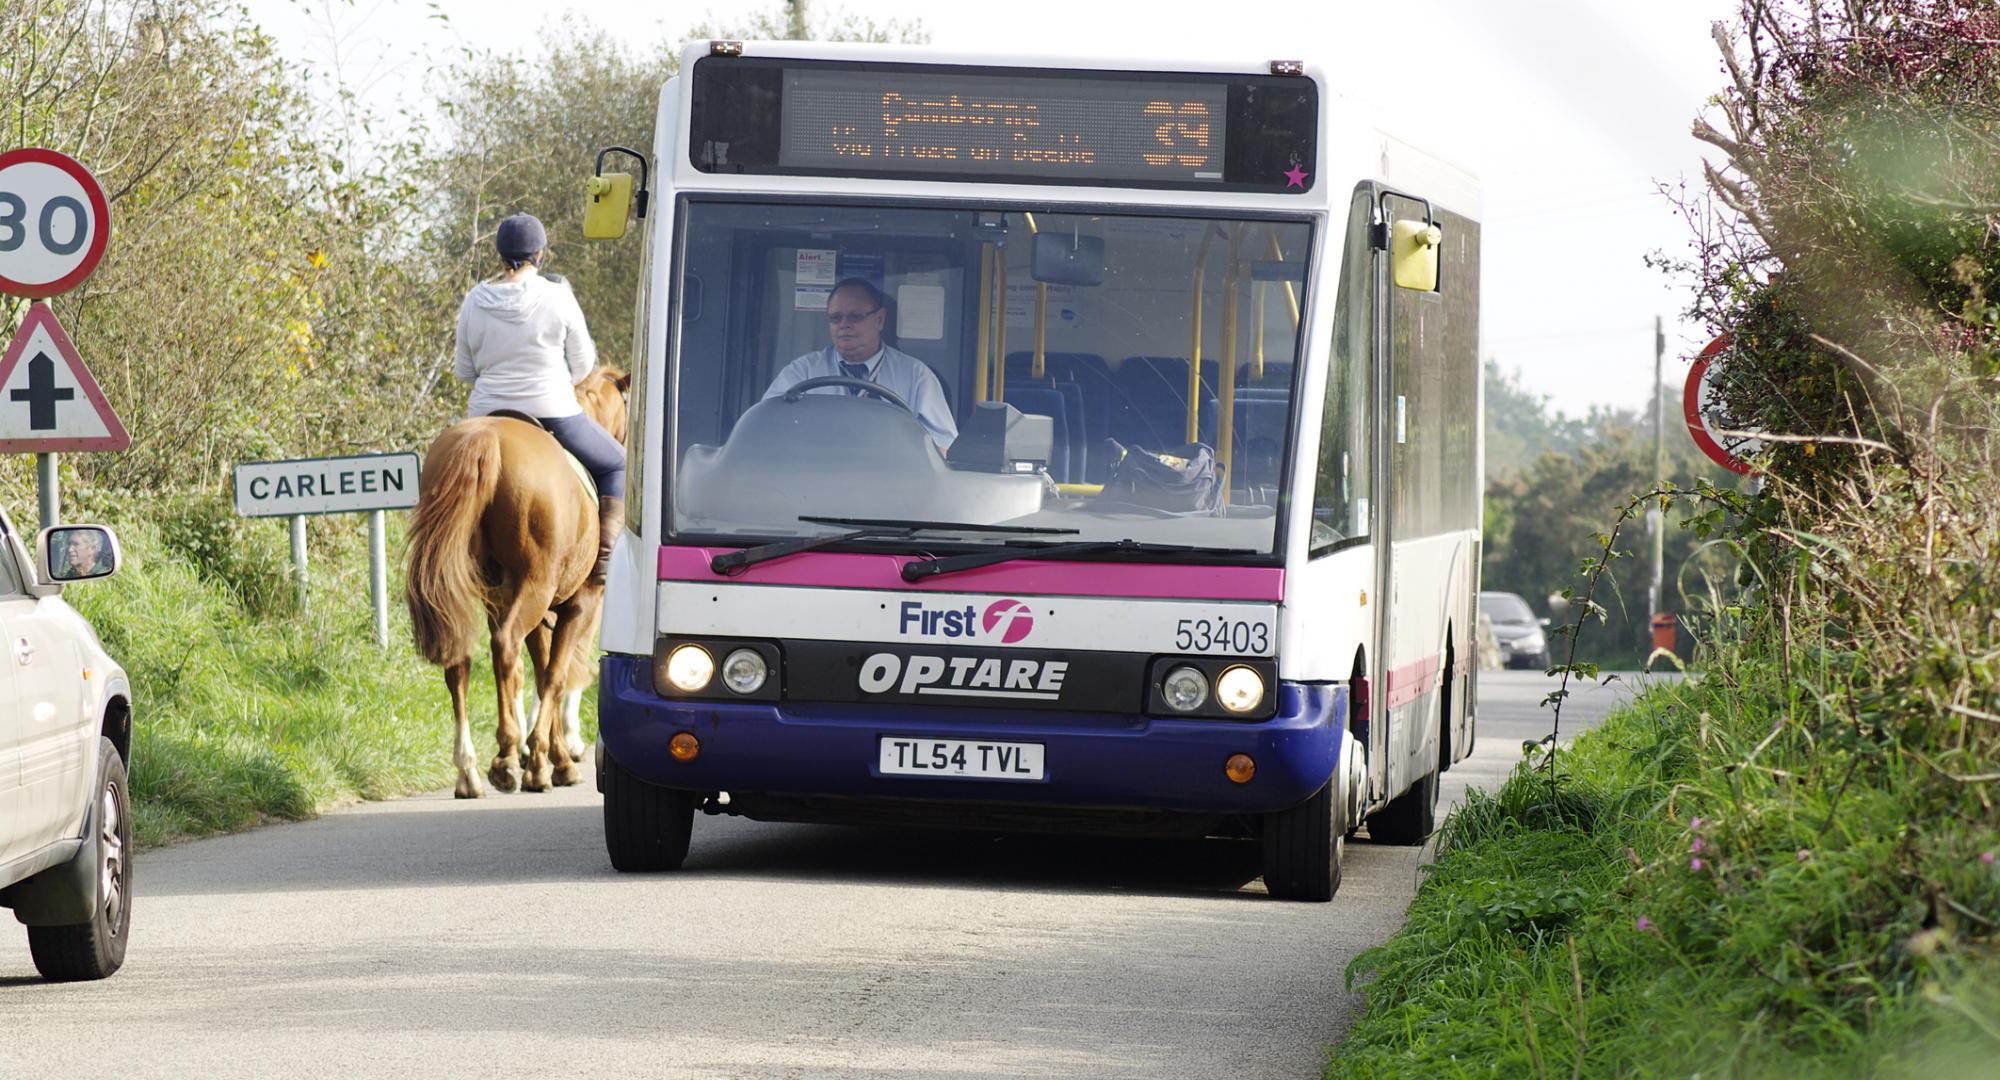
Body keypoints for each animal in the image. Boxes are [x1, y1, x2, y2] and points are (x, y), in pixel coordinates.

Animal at [402, 368, 628, 796]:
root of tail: (486, 437)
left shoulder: (530, 609)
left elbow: (539, 673)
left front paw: (551, 756)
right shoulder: (580, 604)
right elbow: (555, 675)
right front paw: (547, 760)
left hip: (480, 592)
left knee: (462, 660)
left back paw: (469, 771)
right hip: (536, 590)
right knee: (506, 647)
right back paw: (507, 756)